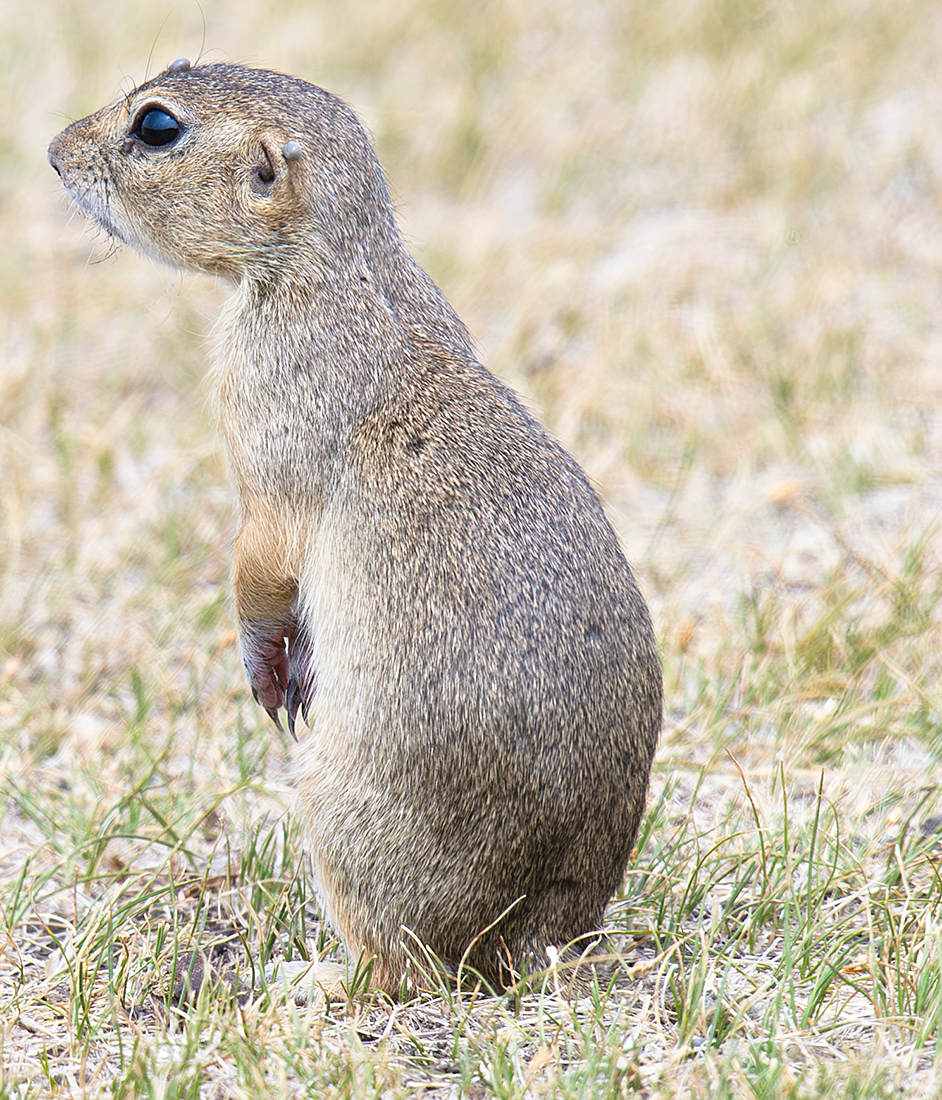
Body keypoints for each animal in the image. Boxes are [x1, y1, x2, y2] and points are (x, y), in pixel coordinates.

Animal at [45, 60, 660, 998]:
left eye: (156, 125)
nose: (52, 150)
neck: (336, 266)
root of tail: (542, 939)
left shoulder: (268, 424)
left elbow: (260, 561)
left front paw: (266, 672)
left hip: (337, 812)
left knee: (400, 970)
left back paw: (307, 977)